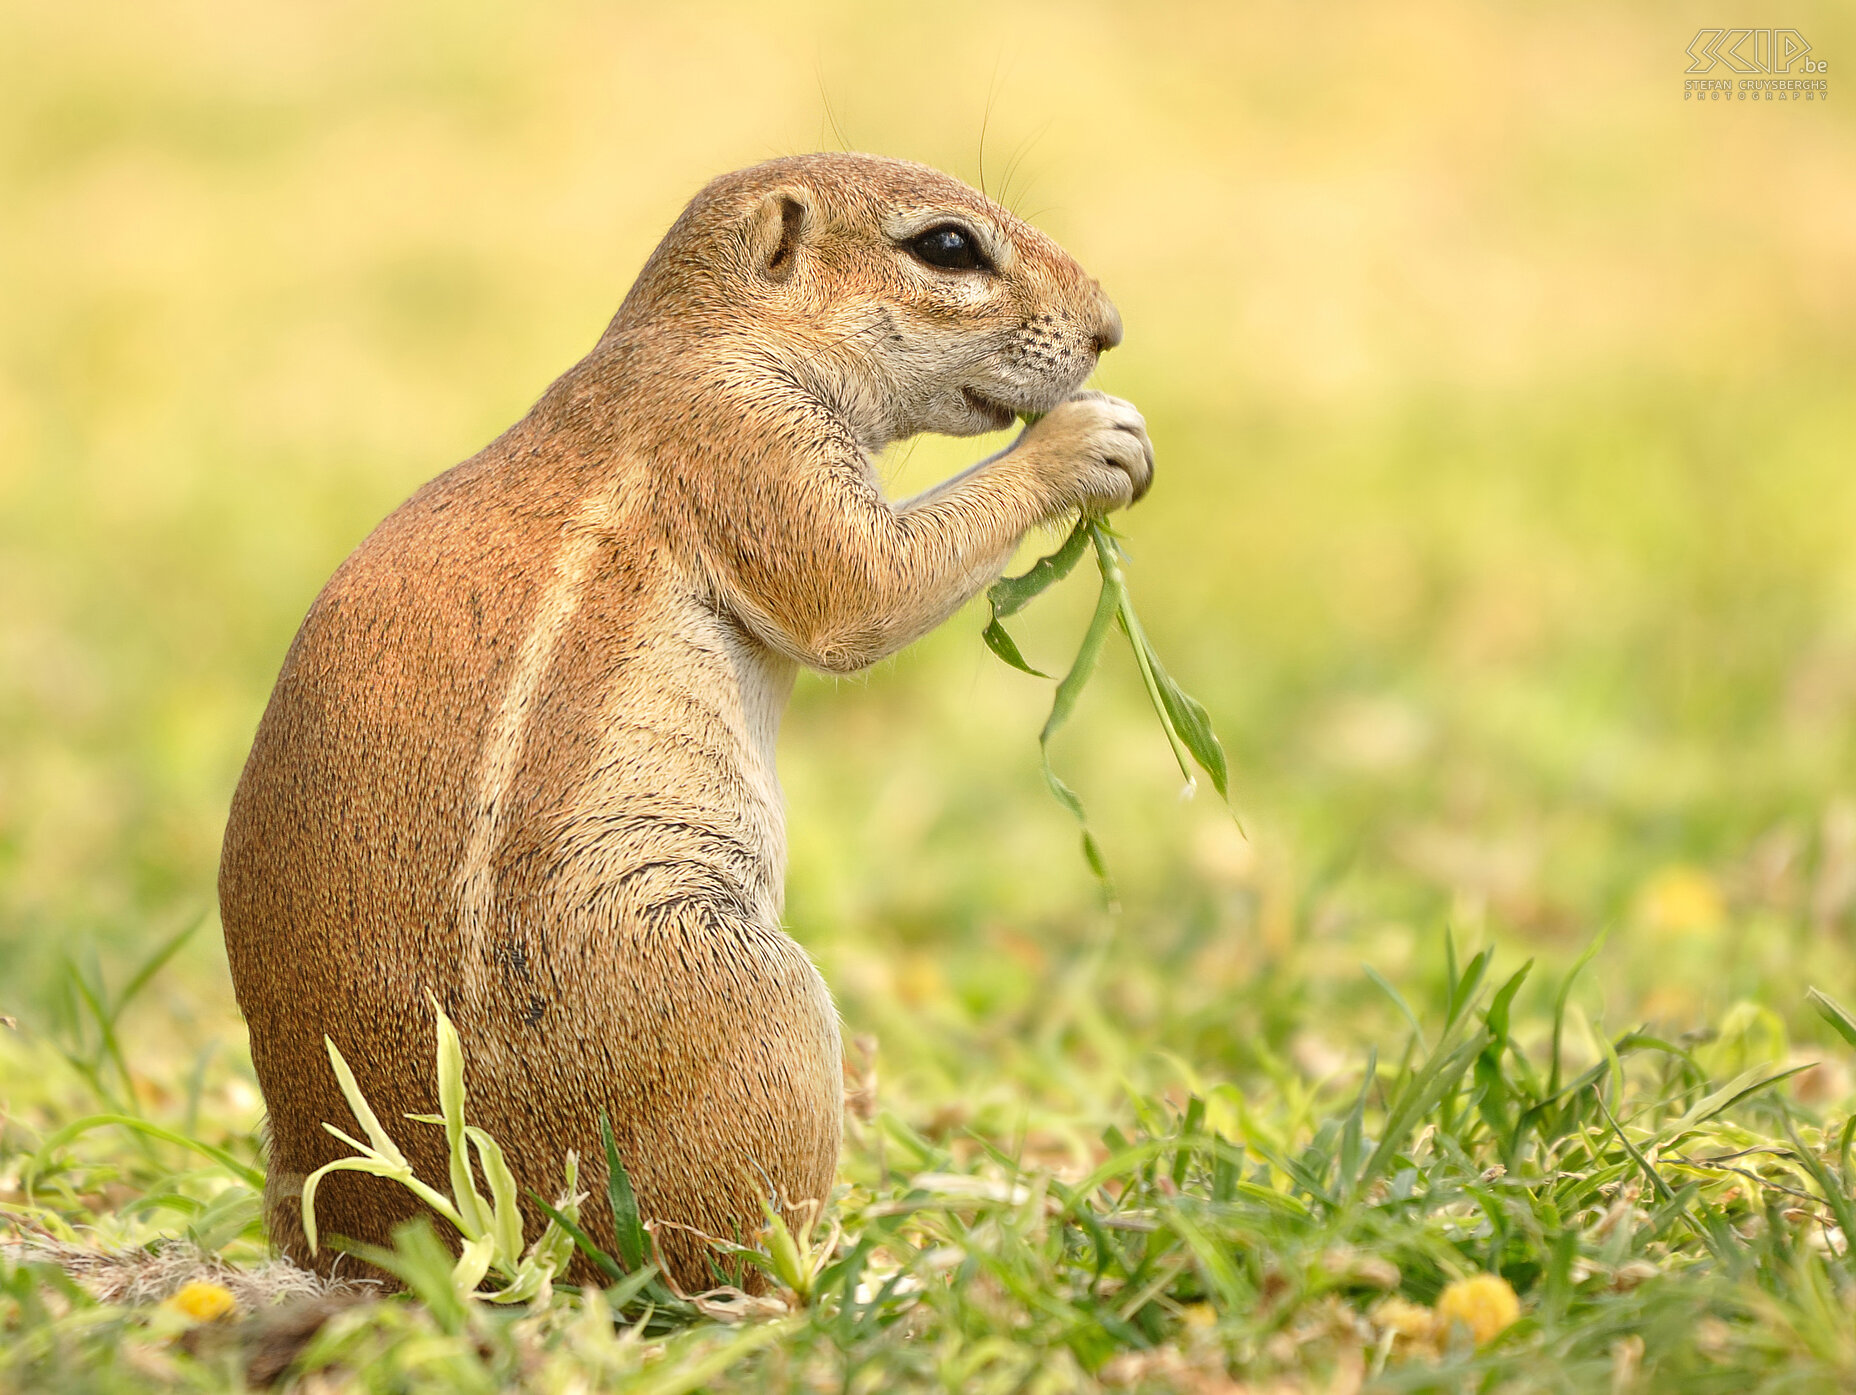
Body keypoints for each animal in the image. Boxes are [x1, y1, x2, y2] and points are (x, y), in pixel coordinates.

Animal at [224, 152, 1150, 1283]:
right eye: (946, 247)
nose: (1110, 327)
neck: (708, 335)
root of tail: (413, 1236)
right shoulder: (749, 442)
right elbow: (861, 587)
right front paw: (1089, 439)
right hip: (756, 1006)